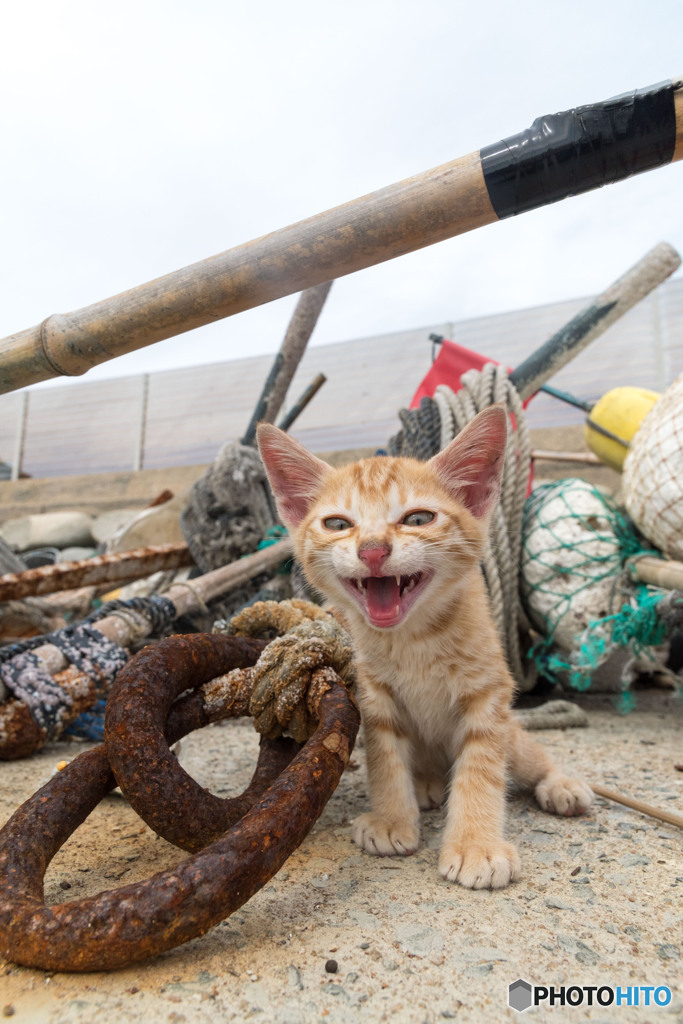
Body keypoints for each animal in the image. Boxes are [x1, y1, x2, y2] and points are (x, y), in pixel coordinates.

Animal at [255, 407, 593, 888]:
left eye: (418, 519)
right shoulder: (374, 696)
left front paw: (476, 845)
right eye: (338, 524)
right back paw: (428, 785)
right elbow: (385, 759)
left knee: (530, 756)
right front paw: (392, 819)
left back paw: (559, 784)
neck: (414, 638)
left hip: (514, 736)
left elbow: (481, 768)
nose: (372, 550)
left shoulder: (490, 695)